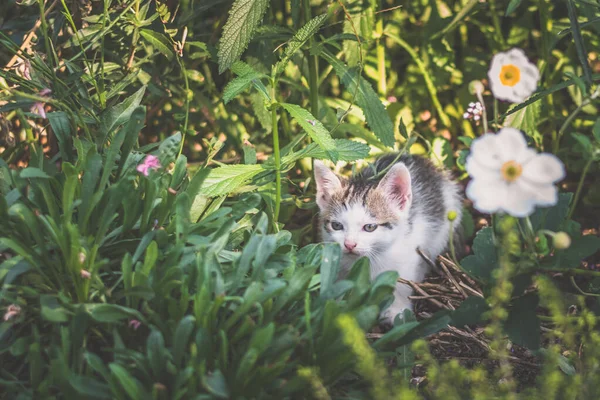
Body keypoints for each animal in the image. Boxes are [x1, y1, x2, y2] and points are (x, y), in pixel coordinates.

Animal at [314, 153, 464, 324]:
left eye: (370, 227)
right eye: (337, 225)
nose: (349, 244)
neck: (371, 259)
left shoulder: (408, 254)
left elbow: (402, 283)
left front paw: (398, 311)